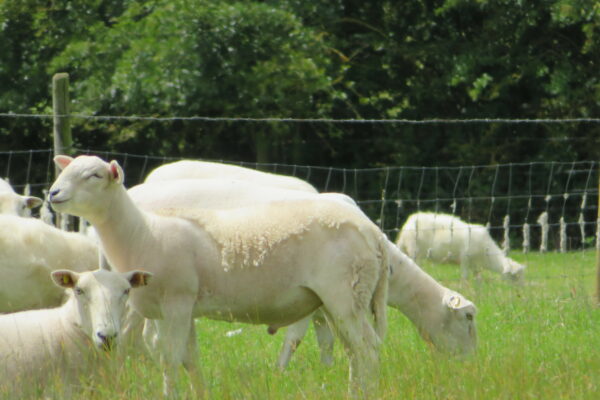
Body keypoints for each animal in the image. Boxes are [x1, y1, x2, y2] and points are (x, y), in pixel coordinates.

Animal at [49, 155, 392, 396]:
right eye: (65, 171)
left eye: (94, 175)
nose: (53, 193)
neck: (143, 233)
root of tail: (373, 232)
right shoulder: (176, 309)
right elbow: (189, 360)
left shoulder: (177, 302)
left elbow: (170, 360)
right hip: (339, 300)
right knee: (355, 352)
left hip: (345, 293)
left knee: (369, 350)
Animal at [276, 241, 478, 368]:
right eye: (468, 316)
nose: (470, 363)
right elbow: (294, 339)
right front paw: (280, 372)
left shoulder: (324, 310)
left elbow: (326, 343)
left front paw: (327, 371)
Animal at [396, 212, 524, 282]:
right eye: (514, 277)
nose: (521, 290)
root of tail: (408, 223)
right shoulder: (465, 259)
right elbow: (464, 277)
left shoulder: (475, 264)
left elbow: (478, 278)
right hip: (415, 252)